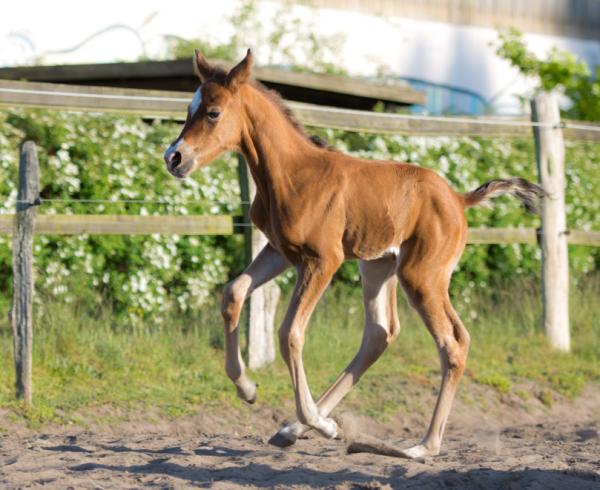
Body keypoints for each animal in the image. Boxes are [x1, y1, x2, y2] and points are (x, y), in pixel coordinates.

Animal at [164, 50, 544, 460]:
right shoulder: (280, 251)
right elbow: (233, 293)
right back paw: (292, 430)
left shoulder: (322, 261)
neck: (293, 174)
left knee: (452, 343)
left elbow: (289, 332)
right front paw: (249, 390)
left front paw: (323, 425)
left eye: (213, 112)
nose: (174, 157)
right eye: (189, 109)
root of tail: (459, 199)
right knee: (380, 334)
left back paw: (422, 446)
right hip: (378, 266)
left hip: (422, 276)